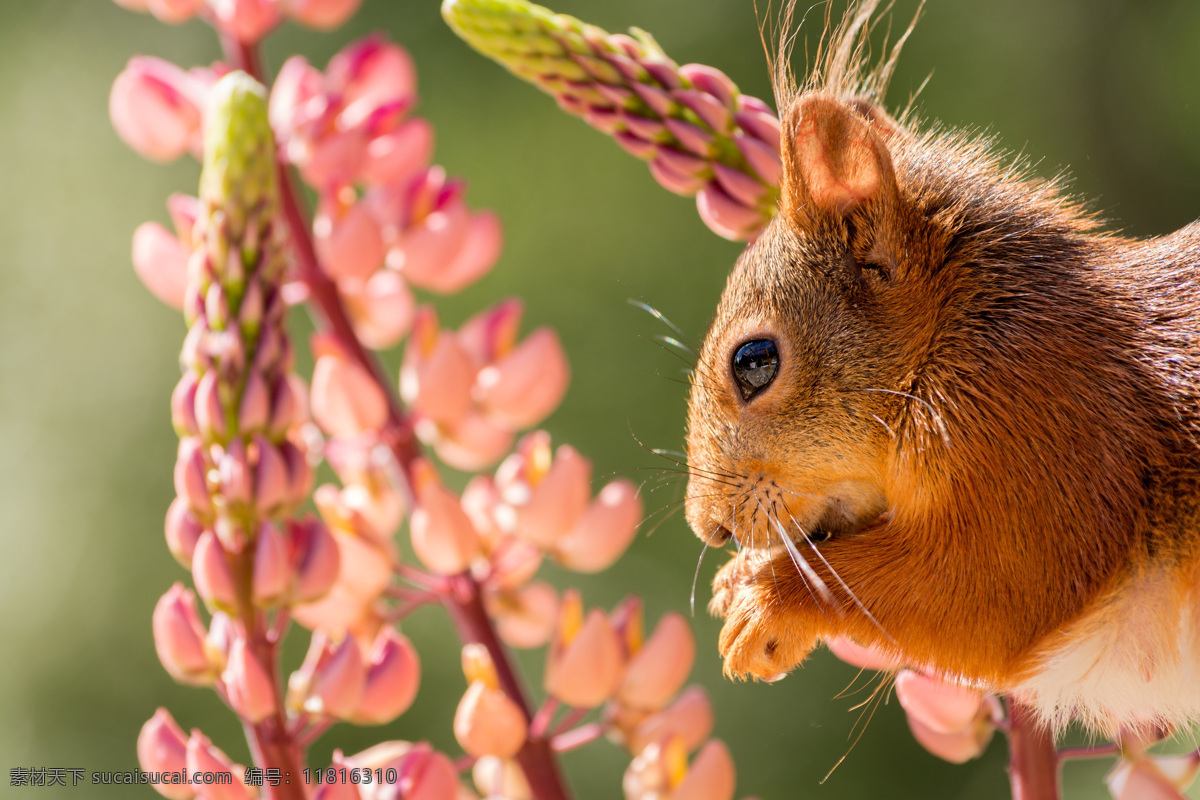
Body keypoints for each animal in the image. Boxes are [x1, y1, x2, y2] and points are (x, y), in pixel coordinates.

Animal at [686, 1, 1200, 738]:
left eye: (754, 362)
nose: (711, 528)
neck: (952, 339)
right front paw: (741, 578)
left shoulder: (1042, 435)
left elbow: (980, 595)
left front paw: (767, 601)